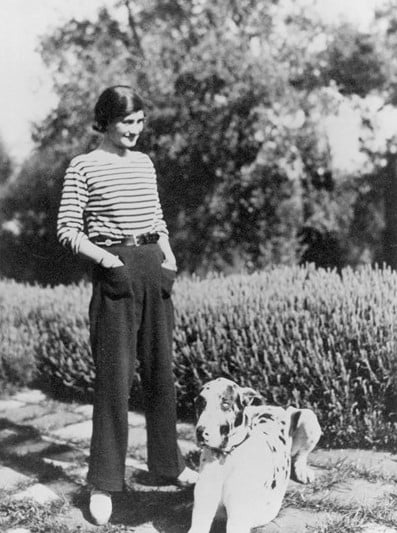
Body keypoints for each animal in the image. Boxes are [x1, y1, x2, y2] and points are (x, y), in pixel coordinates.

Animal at [187, 376, 320, 532]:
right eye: (200, 403)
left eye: (225, 404)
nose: (200, 432)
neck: (226, 457)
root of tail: (279, 408)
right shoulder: (201, 515)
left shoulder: (237, 522)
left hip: (308, 416)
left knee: (300, 455)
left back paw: (302, 471)